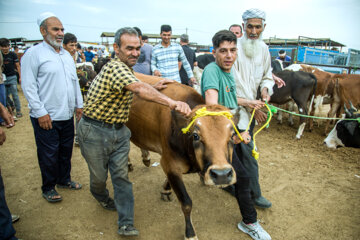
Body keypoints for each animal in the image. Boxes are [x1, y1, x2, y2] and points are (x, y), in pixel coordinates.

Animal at [125, 73, 238, 240]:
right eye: (196, 135)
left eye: (232, 135)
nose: (222, 174)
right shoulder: (169, 162)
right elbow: (186, 203)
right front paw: (190, 233)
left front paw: (166, 190)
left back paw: (146, 157)